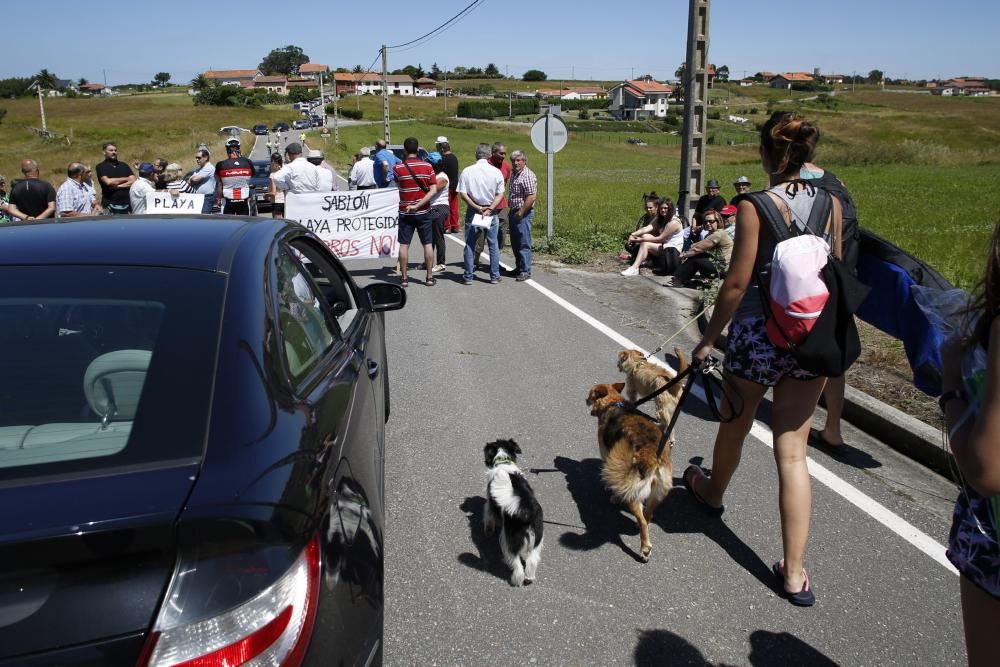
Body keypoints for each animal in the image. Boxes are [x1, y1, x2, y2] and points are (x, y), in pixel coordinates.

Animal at [480, 440, 544, 588]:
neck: (503, 461)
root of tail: (526, 511)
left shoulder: (489, 503)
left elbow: (488, 517)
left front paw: (488, 531)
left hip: (509, 539)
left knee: (518, 566)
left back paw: (516, 581)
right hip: (537, 539)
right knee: (532, 561)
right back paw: (529, 579)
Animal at [584, 380, 676, 564]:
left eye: (590, 394)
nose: (585, 399)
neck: (613, 403)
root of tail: (652, 457)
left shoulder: (608, 456)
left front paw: (614, 496)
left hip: (634, 493)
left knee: (643, 521)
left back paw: (644, 549)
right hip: (658, 492)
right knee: (647, 516)